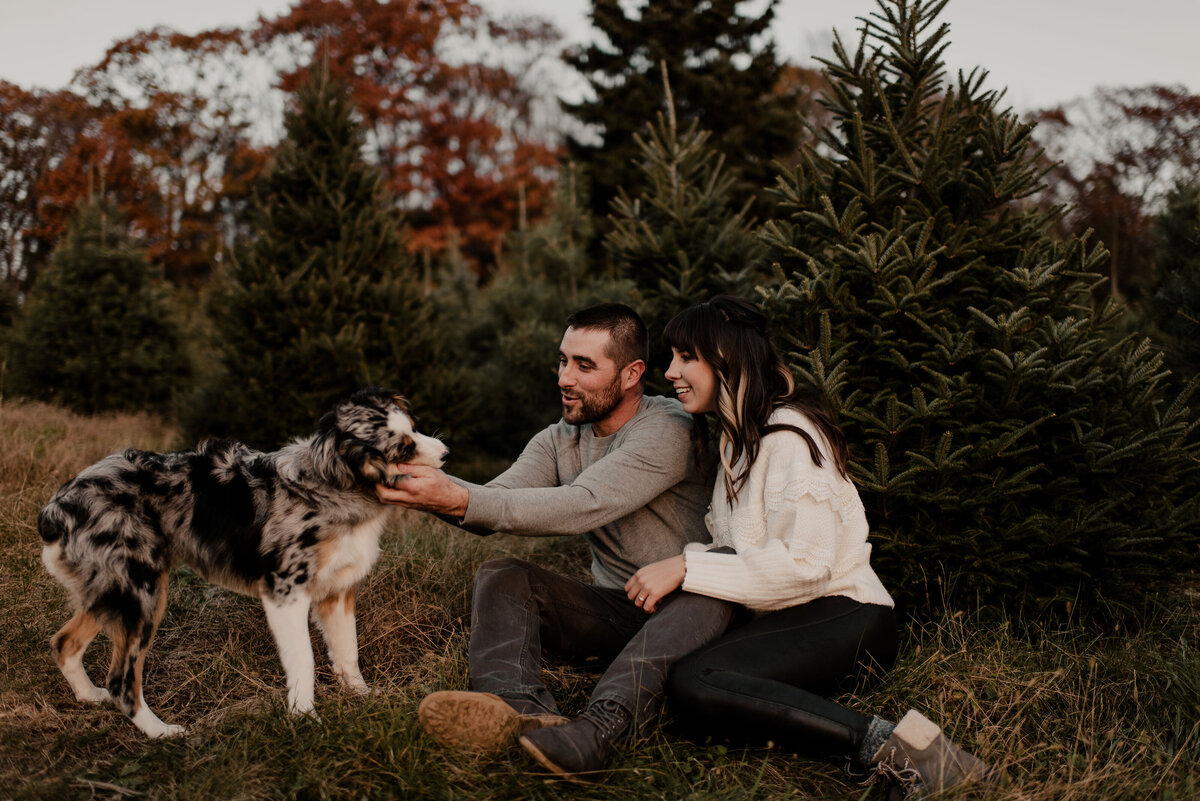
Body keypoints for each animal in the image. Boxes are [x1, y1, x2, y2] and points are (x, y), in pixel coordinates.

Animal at [41, 388, 451, 738]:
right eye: (403, 449)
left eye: (413, 427)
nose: (447, 452)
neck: (331, 487)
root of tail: (59, 505)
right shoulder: (285, 593)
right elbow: (304, 660)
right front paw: (304, 718)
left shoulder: (337, 592)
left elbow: (347, 651)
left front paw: (361, 696)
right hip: (142, 594)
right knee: (122, 680)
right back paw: (160, 731)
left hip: (113, 591)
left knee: (64, 642)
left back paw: (89, 696)